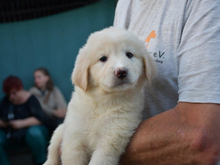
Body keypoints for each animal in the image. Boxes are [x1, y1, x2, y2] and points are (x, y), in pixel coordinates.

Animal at [43, 27, 156, 165]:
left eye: (129, 54)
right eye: (103, 58)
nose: (121, 71)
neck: (103, 100)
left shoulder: (111, 138)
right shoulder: (74, 138)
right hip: (60, 130)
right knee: (52, 152)